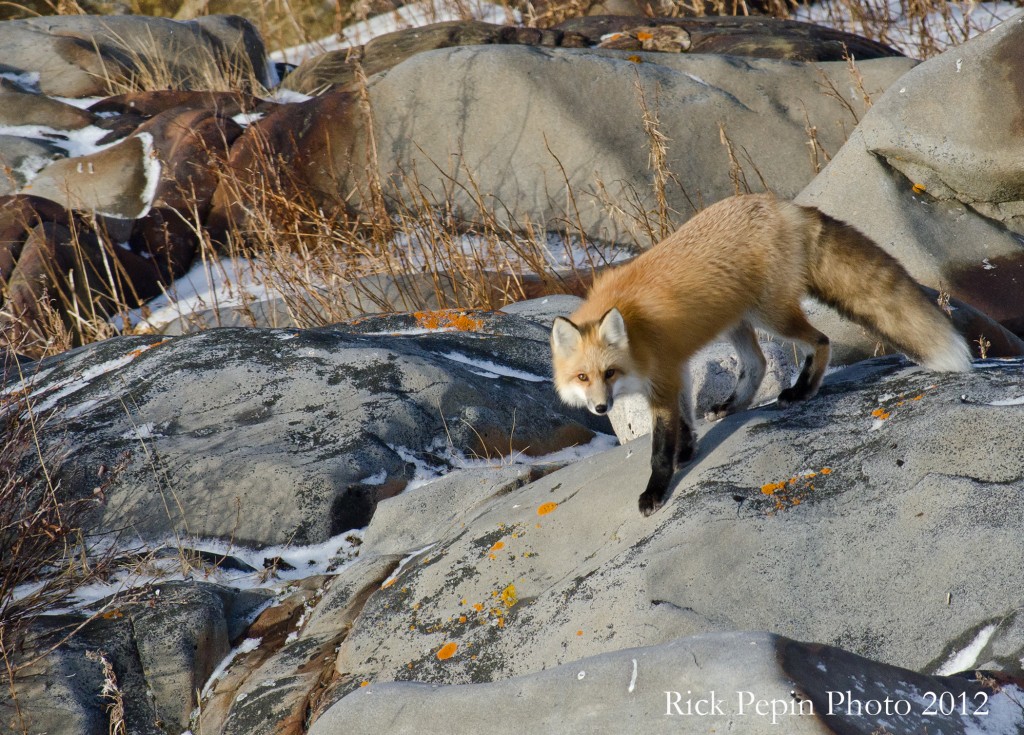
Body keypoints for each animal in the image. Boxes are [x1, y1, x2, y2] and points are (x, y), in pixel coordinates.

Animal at [550, 193, 972, 516]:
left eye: (609, 373)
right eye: (583, 377)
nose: (601, 408)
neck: (635, 330)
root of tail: (785, 205)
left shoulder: (663, 380)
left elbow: (658, 450)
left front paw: (655, 490)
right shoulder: (675, 370)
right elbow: (686, 418)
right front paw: (687, 451)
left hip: (770, 314)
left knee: (819, 341)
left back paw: (799, 392)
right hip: (739, 320)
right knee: (758, 363)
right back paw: (733, 405)